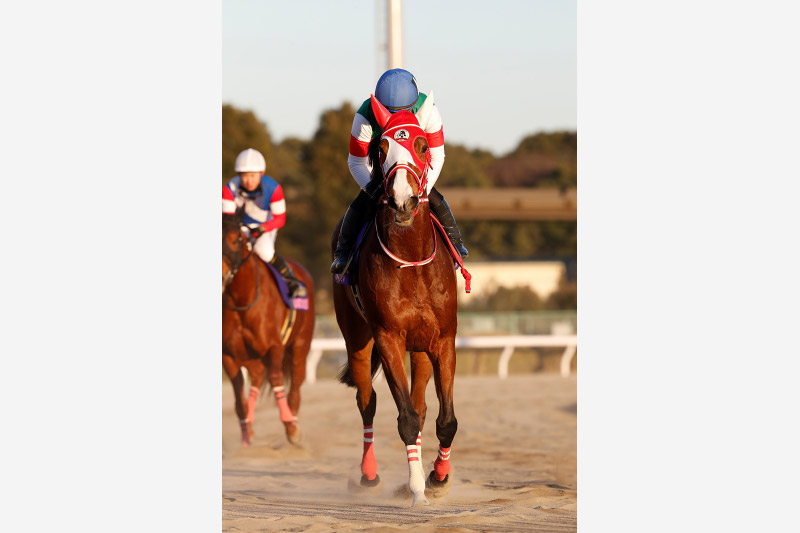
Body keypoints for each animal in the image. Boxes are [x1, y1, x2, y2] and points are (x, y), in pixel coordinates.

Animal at [223, 207, 315, 446]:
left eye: (235, 239)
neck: (242, 299)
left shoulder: (275, 346)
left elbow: (276, 380)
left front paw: (290, 427)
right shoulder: (229, 354)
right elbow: (238, 393)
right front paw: (246, 433)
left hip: (300, 346)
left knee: (296, 383)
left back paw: (294, 423)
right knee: (256, 376)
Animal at [332, 93, 461, 505]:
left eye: (421, 145)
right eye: (380, 149)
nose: (403, 202)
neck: (411, 262)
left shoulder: (443, 339)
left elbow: (444, 420)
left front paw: (438, 477)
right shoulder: (388, 337)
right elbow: (404, 418)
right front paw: (418, 487)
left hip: (419, 348)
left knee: (421, 404)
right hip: (357, 339)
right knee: (366, 402)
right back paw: (369, 474)